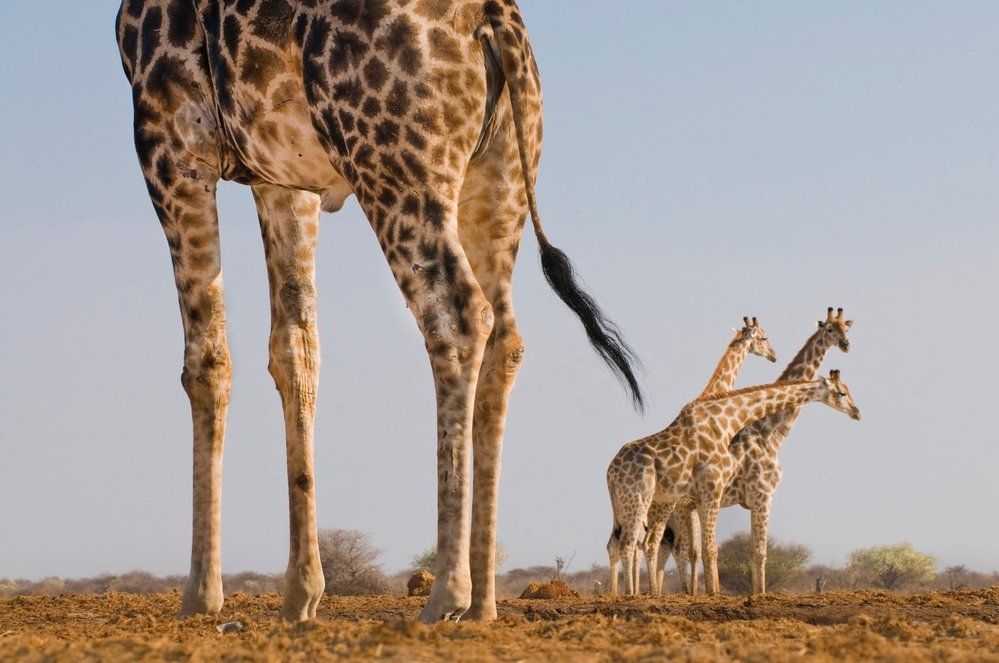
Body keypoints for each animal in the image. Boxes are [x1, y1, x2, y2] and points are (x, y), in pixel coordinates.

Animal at [113, 0, 640, 624]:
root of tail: (496, 19)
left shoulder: (168, 139)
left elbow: (207, 360)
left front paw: (199, 595)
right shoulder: (281, 178)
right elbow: (295, 350)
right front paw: (301, 594)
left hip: (396, 168)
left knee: (459, 315)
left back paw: (446, 595)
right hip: (502, 173)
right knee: (506, 339)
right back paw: (483, 603)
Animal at [604, 374, 864, 596]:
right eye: (842, 392)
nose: (857, 412)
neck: (726, 421)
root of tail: (610, 472)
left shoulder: (704, 497)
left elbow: (704, 549)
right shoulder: (717, 490)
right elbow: (713, 549)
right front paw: (716, 595)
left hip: (637, 505)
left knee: (632, 544)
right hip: (641, 499)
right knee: (631, 543)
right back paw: (632, 595)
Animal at [668, 308, 856, 592]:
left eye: (848, 327)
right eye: (830, 329)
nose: (846, 345)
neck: (768, 430)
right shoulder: (762, 494)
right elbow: (758, 552)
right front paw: (758, 595)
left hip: (688, 507)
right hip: (681, 507)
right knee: (678, 550)